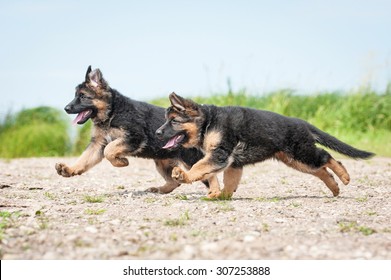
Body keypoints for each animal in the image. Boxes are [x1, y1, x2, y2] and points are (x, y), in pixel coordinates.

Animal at [55, 66, 211, 194]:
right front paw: (70, 169)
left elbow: (109, 150)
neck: (112, 112)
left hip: (190, 160)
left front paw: (121, 162)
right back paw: (159, 190)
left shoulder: (134, 137)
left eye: (82, 96)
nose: (66, 108)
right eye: (76, 96)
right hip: (162, 161)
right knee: (174, 182)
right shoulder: (98, 143)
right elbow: (85, 158)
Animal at [155, 93, 376, 198]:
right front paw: (220, 196)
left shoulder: (219, 155)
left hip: (302, 153)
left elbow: (198, 167)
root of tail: (301, 122)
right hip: (296, 160)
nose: (157, 133)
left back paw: (344, 177)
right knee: (321, 169)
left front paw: (183, 175)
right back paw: (334, 188)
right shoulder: (231, 163)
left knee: (326, 157)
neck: (209, 121)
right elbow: (226, 181)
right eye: (166, 121)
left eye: (173, 121)